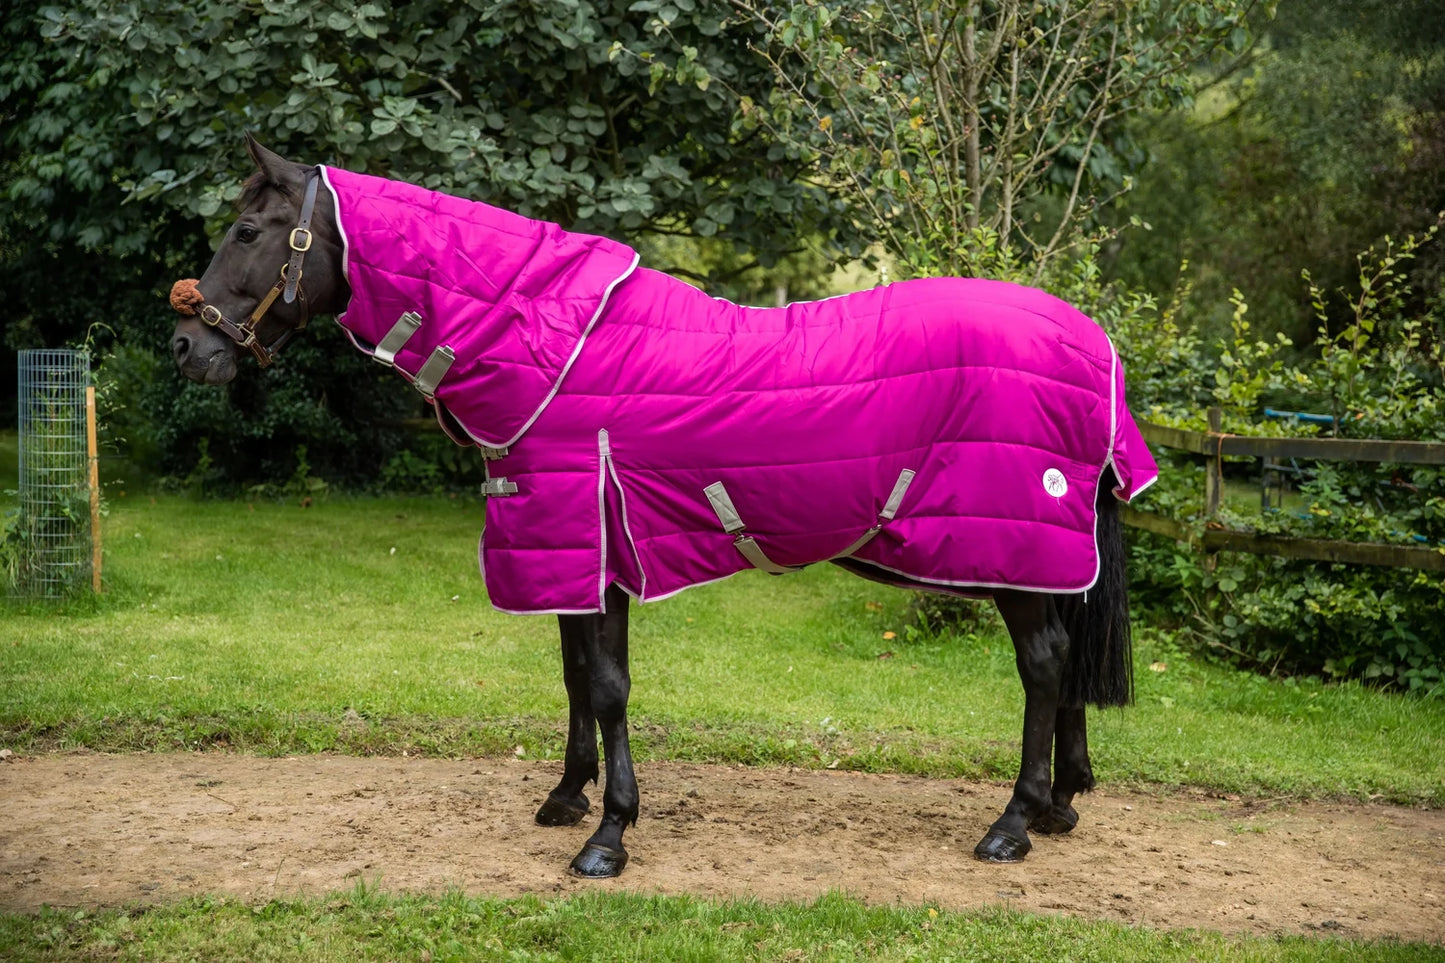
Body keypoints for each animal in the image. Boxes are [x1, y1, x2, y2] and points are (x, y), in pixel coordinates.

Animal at [169, 134, 1158, 879]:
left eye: (249, 228)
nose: (186, 346)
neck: (553, 340)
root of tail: (1091, 342)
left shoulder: (587, 536)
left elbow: (606, 684)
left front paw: (609, 836)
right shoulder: (569, 549)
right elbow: (574, 675)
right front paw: (566, 797)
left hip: (1014, 549)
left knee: (1044, 664)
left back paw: (1013, 822)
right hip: (1049, 555)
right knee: (1065, 663)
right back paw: (1060, 804)